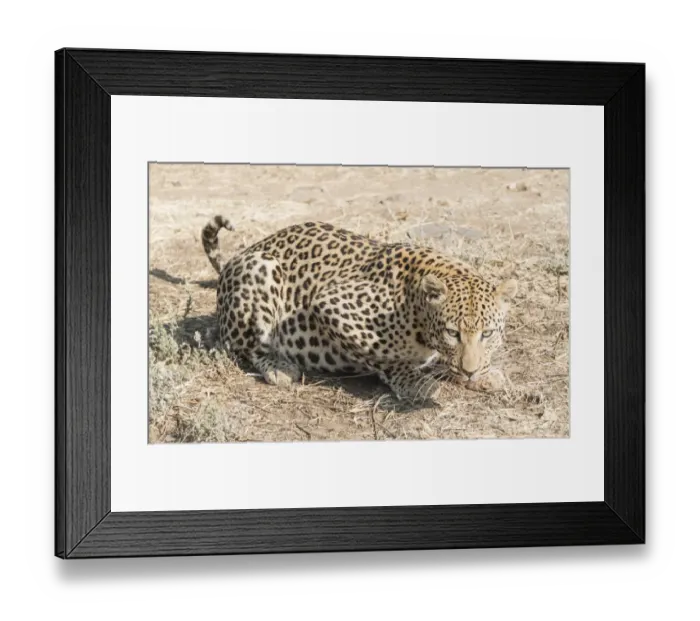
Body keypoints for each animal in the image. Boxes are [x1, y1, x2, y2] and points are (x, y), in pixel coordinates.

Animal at [202, 216, 518, 402]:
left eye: (488, 334)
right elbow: (382, 356)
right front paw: (415, 382)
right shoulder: (331, 305)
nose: (469, 372)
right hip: (261, 269)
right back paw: (279, 367)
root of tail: (237, 256)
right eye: (452, 333)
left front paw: (483, 374)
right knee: (246, 346)